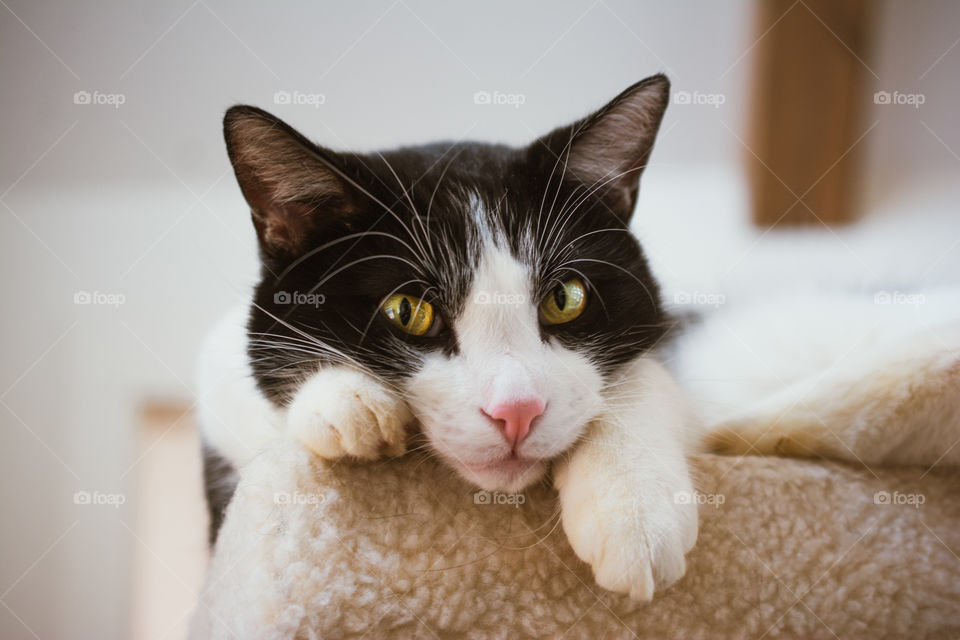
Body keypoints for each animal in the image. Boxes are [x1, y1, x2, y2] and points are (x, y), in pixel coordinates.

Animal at [195, 72, 960, 604]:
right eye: (408, 310)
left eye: (565, 299)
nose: (516, 411)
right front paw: (349, 404)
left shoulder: (676, 343)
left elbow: (646, 375)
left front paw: (634, 508)